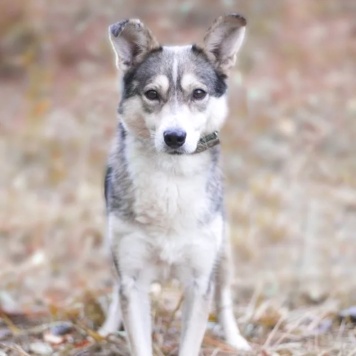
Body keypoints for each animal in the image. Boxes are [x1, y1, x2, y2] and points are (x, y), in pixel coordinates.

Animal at [99, 13, 250, 356]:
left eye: (199, 94)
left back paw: (235, 339)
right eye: (152, 94)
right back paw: (106, 330)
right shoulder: (133, 280)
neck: (171, 180)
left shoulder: (199, 281)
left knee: (224, 298)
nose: (174, 137)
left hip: (224, 254)